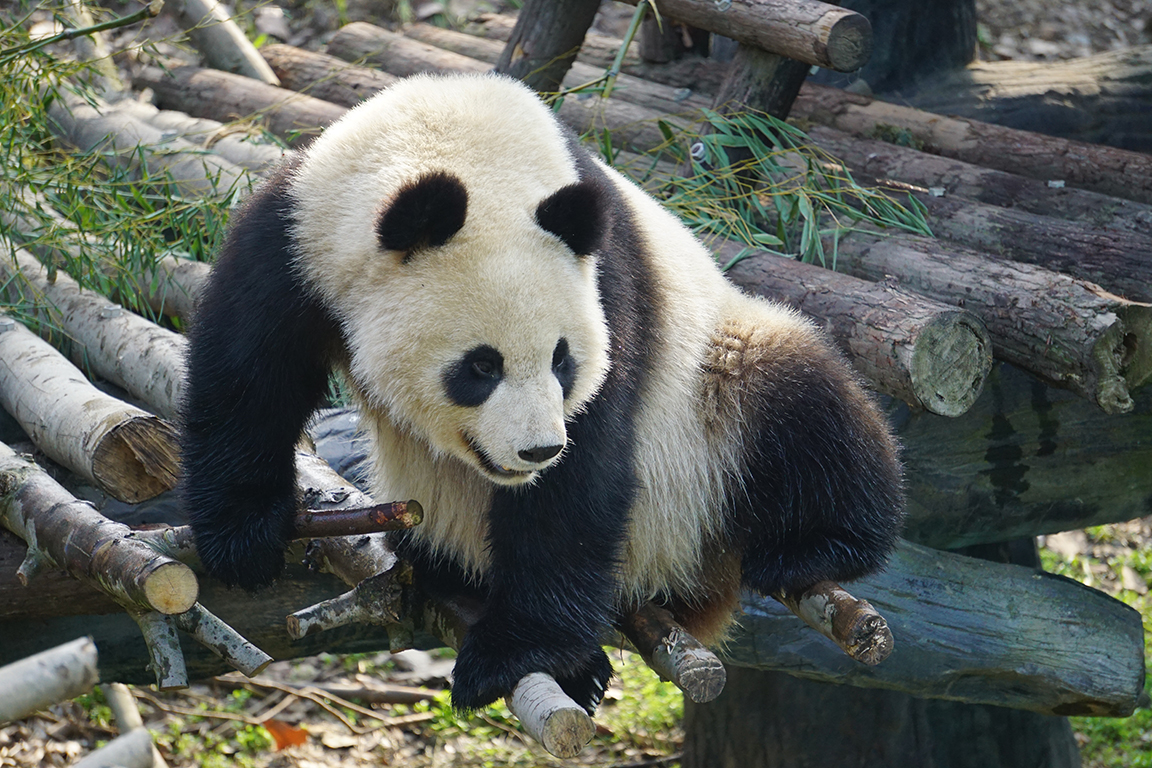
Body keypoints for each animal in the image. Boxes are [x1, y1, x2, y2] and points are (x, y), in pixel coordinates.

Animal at [181, 72, 904, 713]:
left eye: (563, 360)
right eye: (480, 366)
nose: (536, 451)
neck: (460, 143)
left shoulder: (607, 285)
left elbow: (583, 474)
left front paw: (515, 654)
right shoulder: (296, 238)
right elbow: (250, 374)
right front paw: (244, 538)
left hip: (711, 399)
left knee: (804, 403)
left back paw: (812, 547)